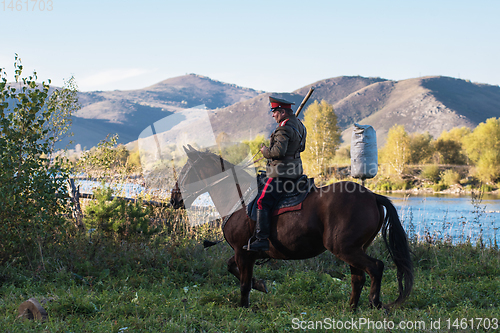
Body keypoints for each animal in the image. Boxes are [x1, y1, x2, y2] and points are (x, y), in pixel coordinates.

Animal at [170, 145, 412, 308]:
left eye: (185, 171)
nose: (174, 199)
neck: (238, 198)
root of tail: (372, 196)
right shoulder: (246, 252)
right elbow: (233, 269)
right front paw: (261, 285)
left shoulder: (243, 252)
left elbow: (244, 284)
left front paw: (244, 306)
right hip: (354, 249)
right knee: (358, 277)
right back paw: (352, 308)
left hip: (346, 248)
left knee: (375, 268)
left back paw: (375, 304)